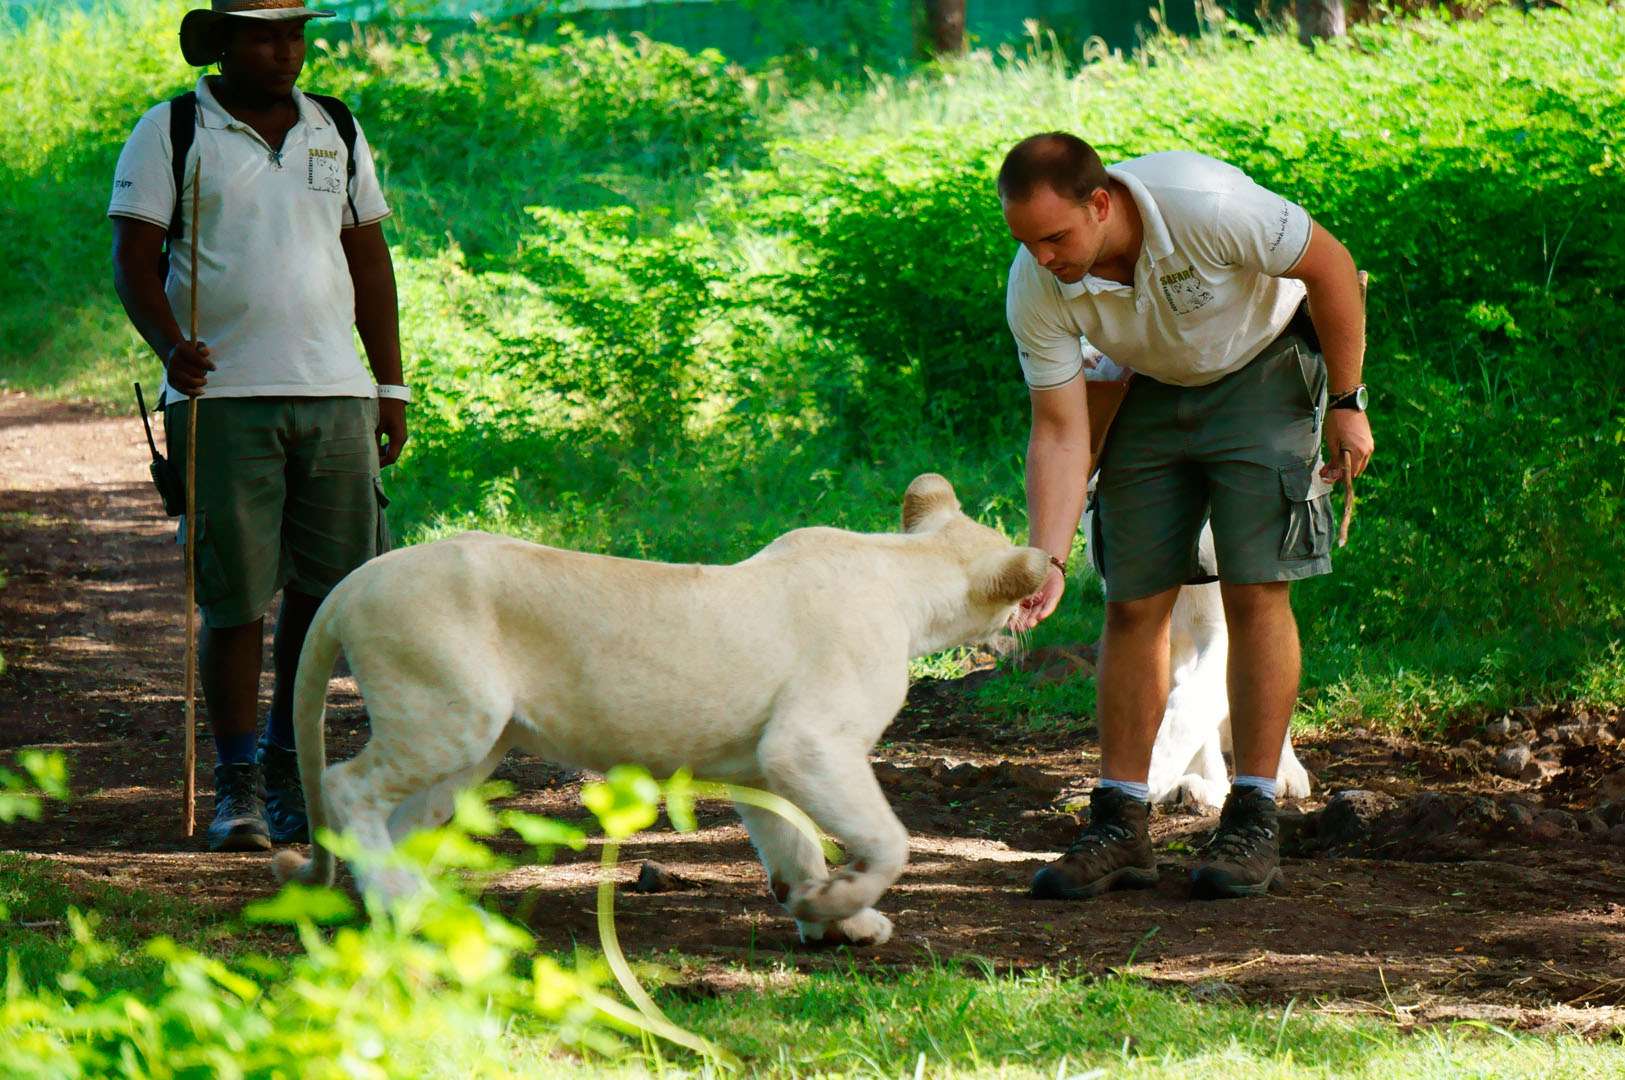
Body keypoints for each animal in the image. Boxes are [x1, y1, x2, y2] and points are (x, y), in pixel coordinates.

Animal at [272, 473, 1048, 946]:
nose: (1040, 605)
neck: (909, 573)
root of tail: (353, 581)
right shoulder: (808, 744)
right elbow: (889, 841)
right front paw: (836, 906)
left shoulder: (764, 765)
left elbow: (793, 843)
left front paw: (832, 920)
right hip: (448, 715)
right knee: (346, 787)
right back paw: (400, 903)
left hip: (473, 742)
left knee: (400, 819)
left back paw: (418, 911)